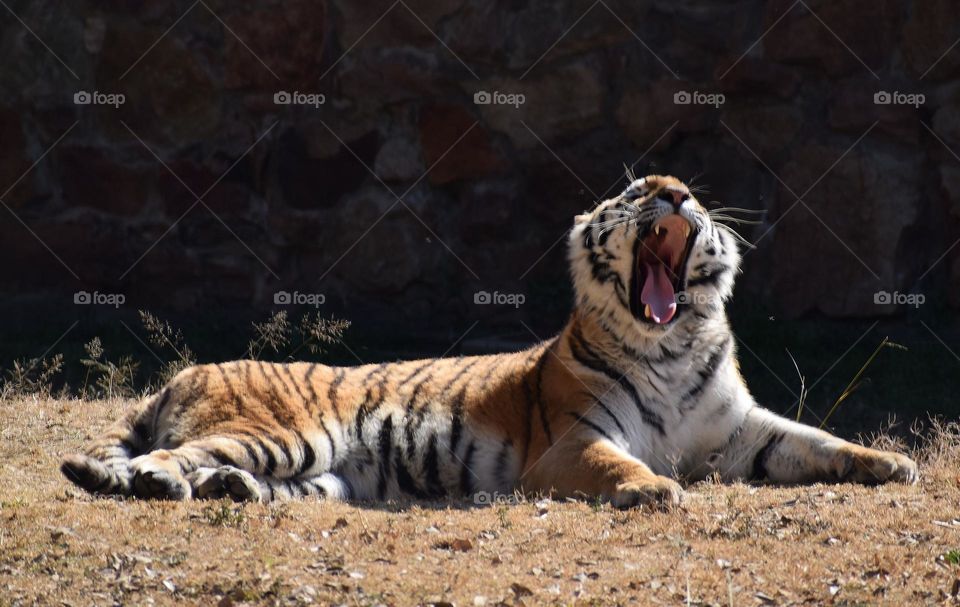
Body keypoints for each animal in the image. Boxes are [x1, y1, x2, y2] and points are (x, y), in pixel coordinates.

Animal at [61, 174, 918, 508]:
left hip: (326, 474)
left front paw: (894, 461)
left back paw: (226, 490)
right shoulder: (574, 442)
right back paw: (161, 480)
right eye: (634, 193)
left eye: (694, 198)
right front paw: (654, 488)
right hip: (282, 433)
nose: (674, 193)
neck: (670, 346)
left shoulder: (744, 431)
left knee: (241, 478)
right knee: (168, 454)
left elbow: (819, 440)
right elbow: (623, 463)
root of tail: (182, 374)